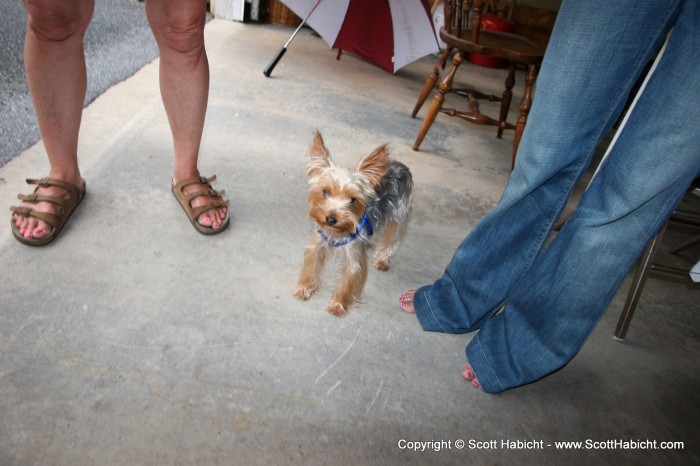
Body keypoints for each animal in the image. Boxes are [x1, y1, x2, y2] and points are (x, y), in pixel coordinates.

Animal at [294, 131, 412, 316]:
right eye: (325, 192)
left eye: (352, 200)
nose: (331, 219)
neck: (336, 232)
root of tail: (401, 165)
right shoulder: (318, 243)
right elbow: (311, 265)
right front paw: (305, 288)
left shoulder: (354, 254)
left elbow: (349, 279)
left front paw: (338, 305)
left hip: (400, 212)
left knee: (393, 236)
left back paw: (382, 259)